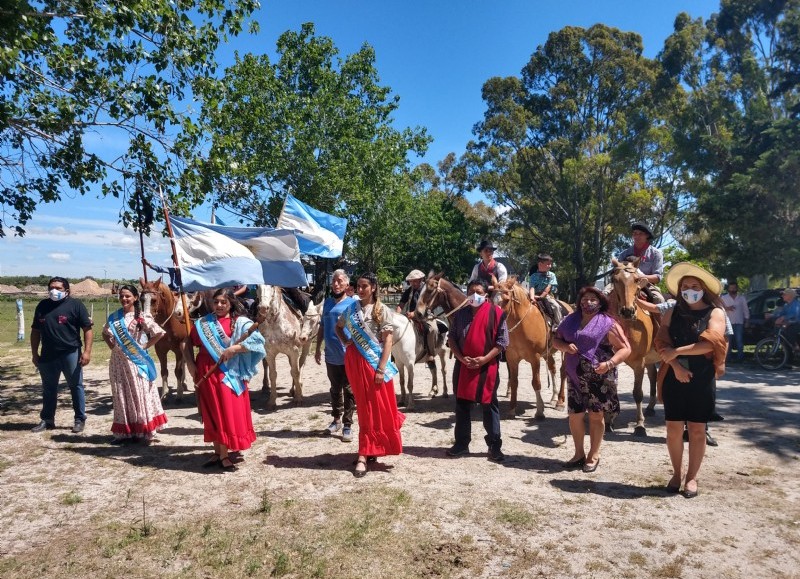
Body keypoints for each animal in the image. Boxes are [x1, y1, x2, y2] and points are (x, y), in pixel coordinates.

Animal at [494, 280, 568, 420]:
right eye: (490, 297)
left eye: (506, 299)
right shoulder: (512, 358)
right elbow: (514, 382)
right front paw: (512, 409)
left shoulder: (535, 358)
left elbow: (536, 383)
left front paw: (539, 411)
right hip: (547, 353)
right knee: (553, 367)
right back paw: (554, 397)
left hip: (565, 351)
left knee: (563, 372)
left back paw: (560, 402)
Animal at [608, 258, 660, 436]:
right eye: (614, 280)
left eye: (637, 280)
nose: (627, 311)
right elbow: (612, 390)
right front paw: (610, 421)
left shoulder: (639, 363)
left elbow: (637, 394)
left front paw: (640, 425)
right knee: (653, 375)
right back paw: (650, 407)